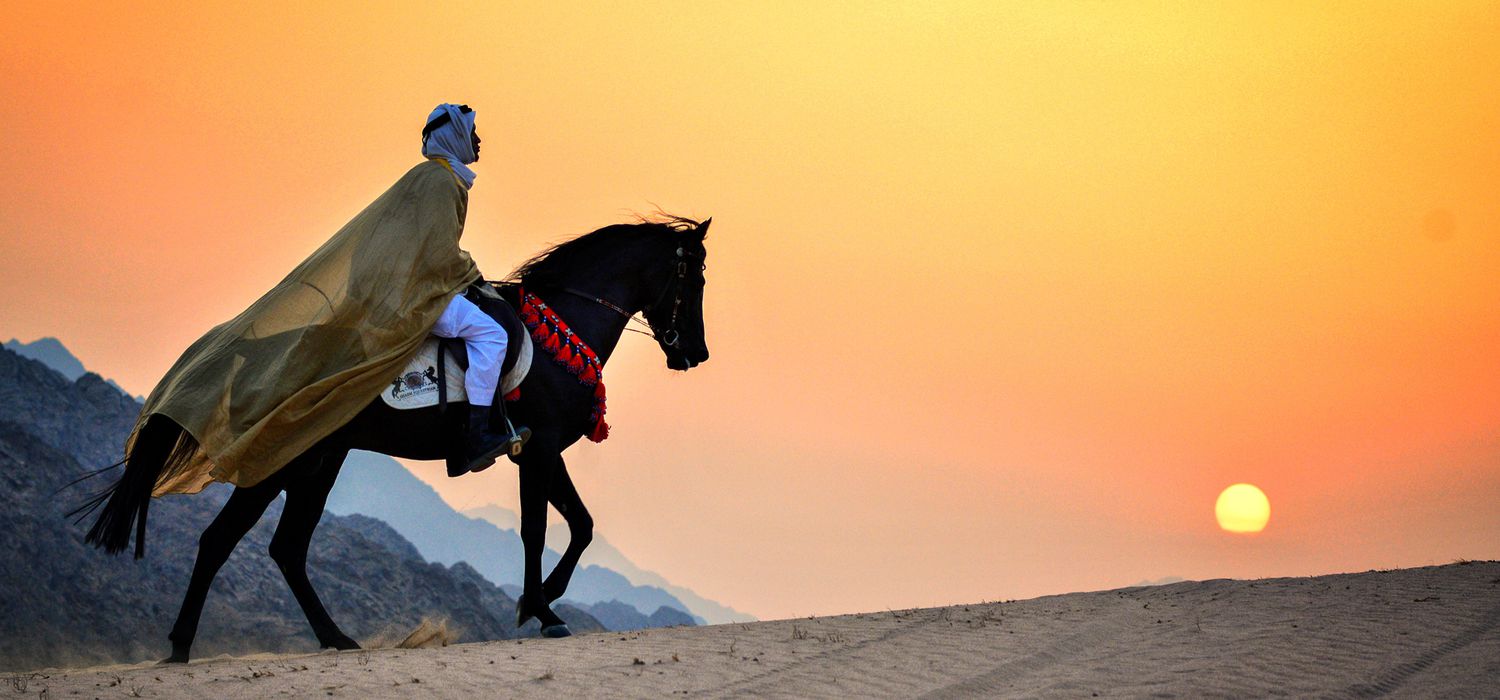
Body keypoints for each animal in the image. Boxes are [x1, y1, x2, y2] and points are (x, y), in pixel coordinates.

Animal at [76, 215, 714, 665]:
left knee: (279, 547)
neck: (561, 327)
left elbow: (573, 526)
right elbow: (548, 530)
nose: (695, 353)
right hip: (286, 463)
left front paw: (539, 603)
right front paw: (539, 607)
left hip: (317, 462)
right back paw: (187, 644)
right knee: (228, 542)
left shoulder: (537, 451)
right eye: (696, 278)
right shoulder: (538, 449)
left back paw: (329, 638)